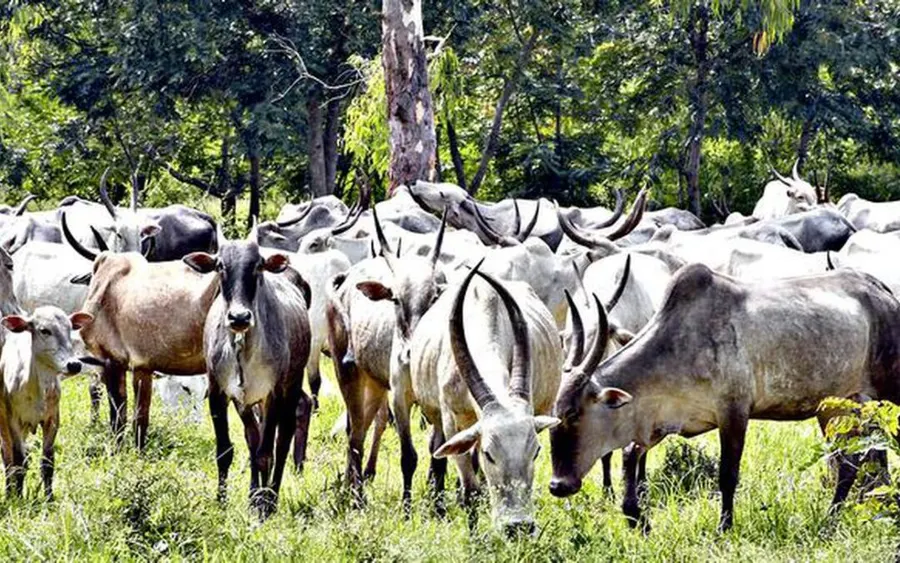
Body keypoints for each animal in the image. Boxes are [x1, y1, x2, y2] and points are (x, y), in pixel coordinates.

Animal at [0, 307, 92, 499]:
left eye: (70, 328)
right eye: (44, 330)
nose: (74, 365)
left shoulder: (52, 419)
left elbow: (47, 462)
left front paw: (49, 498)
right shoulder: (13, 421)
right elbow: (18, 462)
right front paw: (18, 498)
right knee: (7, 458)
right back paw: (9, 492)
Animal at [184, 240, 312, 518]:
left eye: (258, 266)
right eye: (220, 266)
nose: (239, 317)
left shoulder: (274, 393)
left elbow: (266, 452)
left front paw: (265, 508)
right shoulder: (219, 392)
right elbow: (226, 450)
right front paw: (222, 502)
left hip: (291, 386)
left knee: (281, 441)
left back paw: (270, 496)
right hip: (247, 402)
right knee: (254, 438)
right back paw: (255, 495)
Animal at [548, 264, 900, 531]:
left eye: (575, 414)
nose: (557, 485)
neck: (676, 344)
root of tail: (883, 292)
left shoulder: (734, 413)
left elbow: (727, 475)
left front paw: (724, 527)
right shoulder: (664, 421)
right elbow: (629, 455)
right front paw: (637, 518)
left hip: (887, 394)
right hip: (836, 407)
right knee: (849, 461)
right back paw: (830, 519)